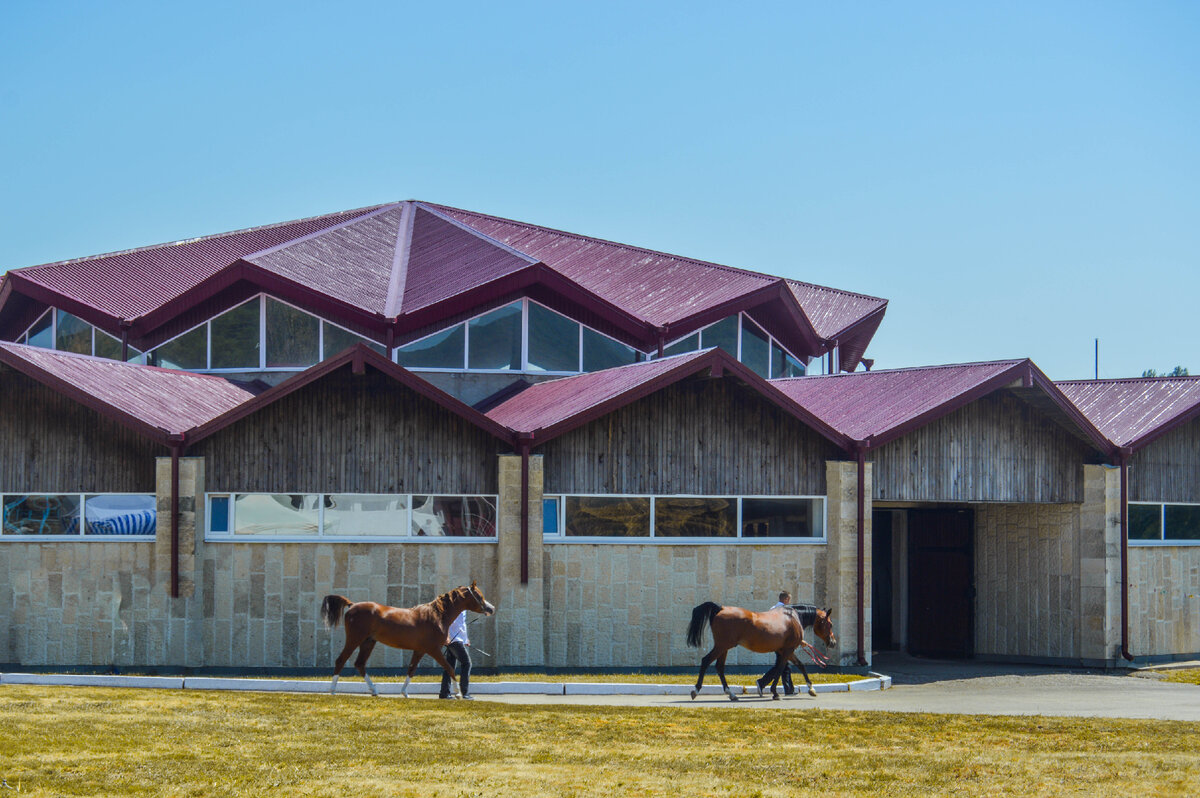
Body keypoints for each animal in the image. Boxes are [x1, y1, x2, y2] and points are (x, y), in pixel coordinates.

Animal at [321, 578, 494, 696]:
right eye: (479, 596)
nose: (491, 609)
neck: (436, 616)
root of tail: (352, 605)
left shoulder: (419, 650)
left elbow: (411, 669)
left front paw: (404, 692)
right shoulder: (433, 650)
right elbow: (449, 668)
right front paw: (458, 693)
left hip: (368, 642)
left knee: (360, 664)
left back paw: (374, 690)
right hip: (355, 639)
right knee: (341, 660)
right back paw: (332, 690)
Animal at [691, 600, 840, 700]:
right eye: (830, 624)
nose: (833, 642)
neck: (793, 618)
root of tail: (720, 608)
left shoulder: (785, 651)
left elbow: (799, 666)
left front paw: (811, 688)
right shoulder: (788, 650)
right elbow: (780, 669)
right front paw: (775, 692)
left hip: (724, 648)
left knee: (719, 667)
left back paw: (731, 694)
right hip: (722, 646)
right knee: (706, 661)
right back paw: (695, 691)